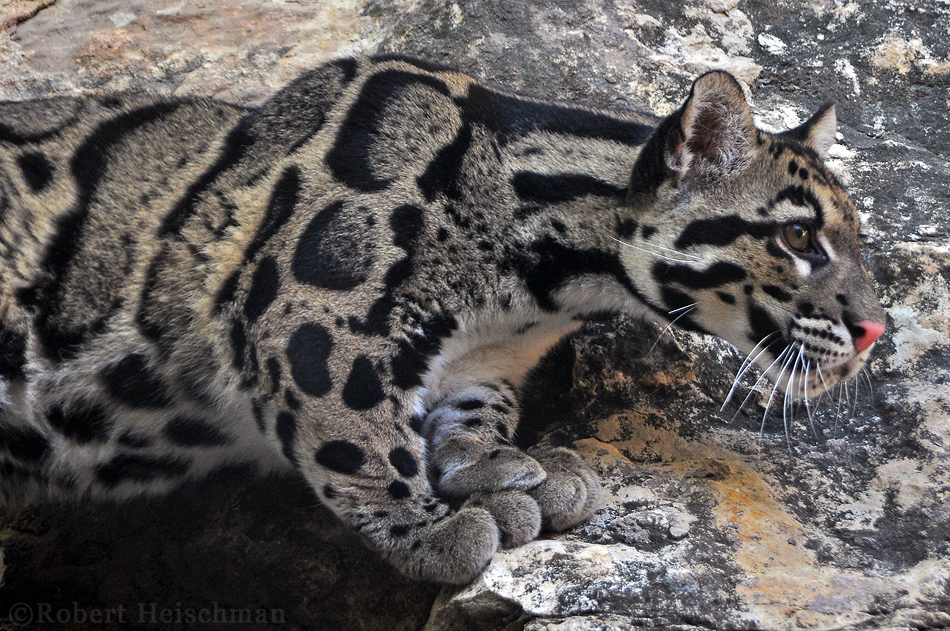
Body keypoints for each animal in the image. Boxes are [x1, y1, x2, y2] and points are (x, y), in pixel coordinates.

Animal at [0, 54, 884, 584]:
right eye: (798, 237)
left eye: (856, 236)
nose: (876, 331)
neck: (536, 286)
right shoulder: (304, 313)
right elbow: (351, 431)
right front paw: (427, 527)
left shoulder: (485, 360)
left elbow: (475, 411)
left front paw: (495, 463)